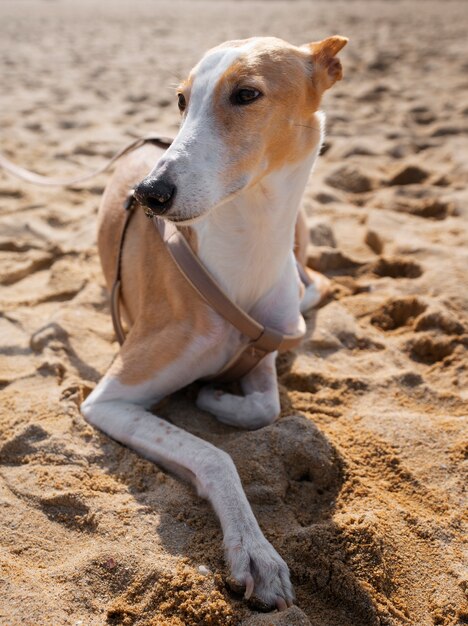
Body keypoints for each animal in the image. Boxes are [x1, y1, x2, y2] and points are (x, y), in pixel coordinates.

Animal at [81, 35, 348, 608]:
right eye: (182, 100)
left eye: (246, 94)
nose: (149, 194)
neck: (247, 246)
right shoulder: (108, 400)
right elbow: (215, 455)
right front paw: (256, 552)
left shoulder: (265, 345)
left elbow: (266, 407)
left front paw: (216, 399)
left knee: (315, 282)